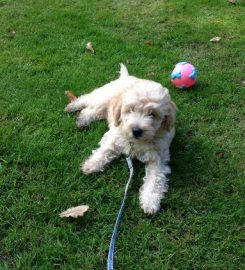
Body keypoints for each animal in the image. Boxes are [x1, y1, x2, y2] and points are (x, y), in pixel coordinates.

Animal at [65, 64, 176, 214]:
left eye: (152, 114)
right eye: (130, 110)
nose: (136, 131)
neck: (137, 142)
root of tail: (126, 76)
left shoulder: (158, 157)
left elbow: (155, 179)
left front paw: (150, 201)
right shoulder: (115, 137)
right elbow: (105, 151)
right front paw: (92, 165)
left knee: (93, 111)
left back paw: (81, 120)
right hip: (103, 97)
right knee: (87, 100)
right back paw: (74, 108)